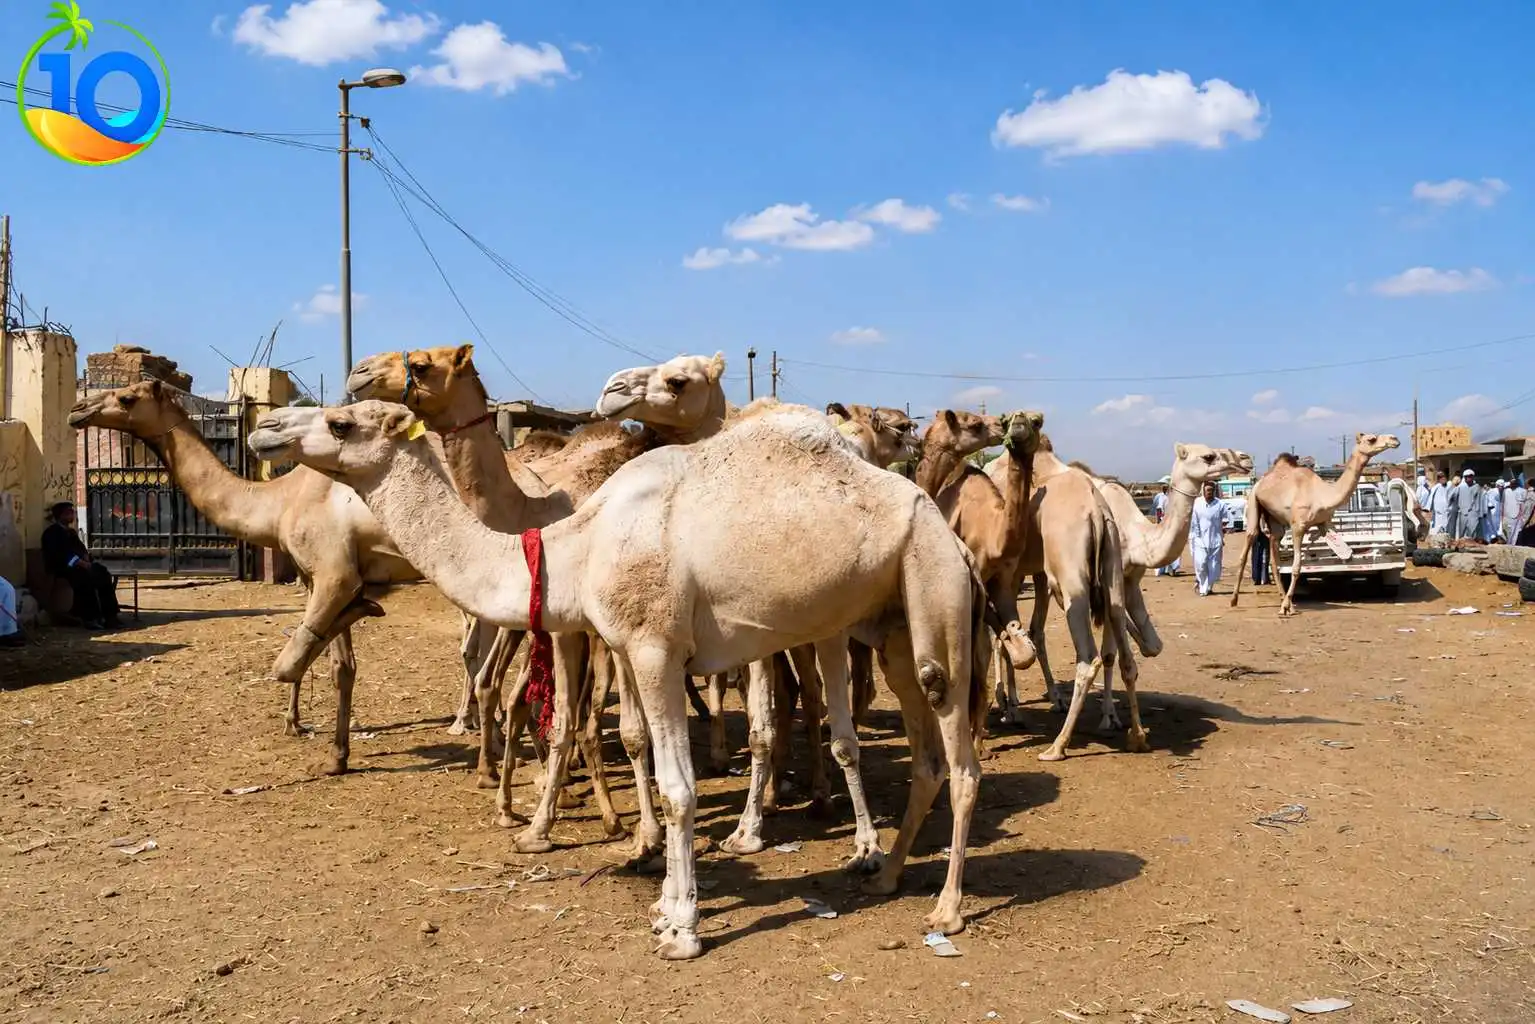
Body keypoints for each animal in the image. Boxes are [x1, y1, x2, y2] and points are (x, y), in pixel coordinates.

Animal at [67, 381, 417, 775]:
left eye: (127, 397)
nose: (78, 410)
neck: (279, 502)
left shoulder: (335, 571)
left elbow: (329, 657)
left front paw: (329, 752)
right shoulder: (316, 576)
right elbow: (342, 666)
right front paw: (328, 748)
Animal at [249, 399, 991, 960]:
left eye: (341, 421)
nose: (264, 428)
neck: (579, 543)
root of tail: (942, 521)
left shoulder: (655, 647)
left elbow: (679, 790)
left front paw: (682, 930)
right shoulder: (628, 649)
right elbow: (648, 764)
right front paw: (663, 900)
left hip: (936, 588)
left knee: (960, 758)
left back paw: (947, 908)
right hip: (892, 627)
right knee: (926, 753)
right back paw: (887, 877)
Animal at [986, 422, 1140, 761]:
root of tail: (1096, 511)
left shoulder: (1008, 572)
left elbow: (1004, 636)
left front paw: (1010, 709)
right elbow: (1015, 633)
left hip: (1071, 582)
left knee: (1088, 659)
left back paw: (1057, 746)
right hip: (1111, 570)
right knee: (1125, 654)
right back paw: (1137, 736)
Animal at [1229, 434, 1401, 616]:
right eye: (1371, 439)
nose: (1394, 439)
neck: (1323, 495)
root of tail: (1261, 481)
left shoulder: (1323, 524)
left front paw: (1287, 605)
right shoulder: (1297, 526)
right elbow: (1296, 567)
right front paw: (1286, 606)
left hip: (1274, 520)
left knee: (1275, 558)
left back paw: (1285, 601)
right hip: (1253, 502)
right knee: (1249, 541)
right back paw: (1235, 600)